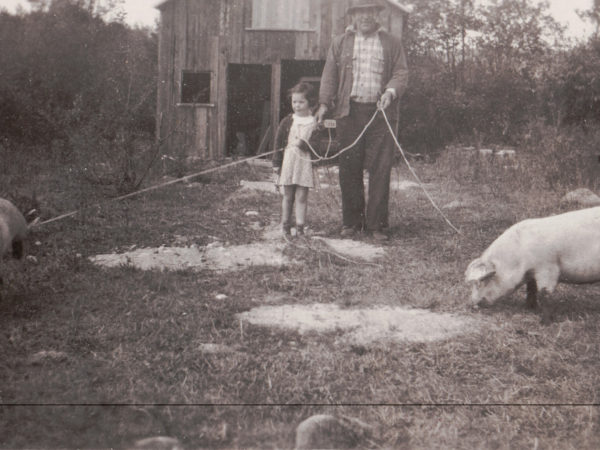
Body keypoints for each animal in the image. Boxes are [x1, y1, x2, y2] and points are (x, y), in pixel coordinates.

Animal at [464, 207, 600, 310]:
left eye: (482, 282)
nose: (470, 304)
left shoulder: (548, 267)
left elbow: (544, 292)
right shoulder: (532, 272)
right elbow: (531, 288)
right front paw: (529, 308)